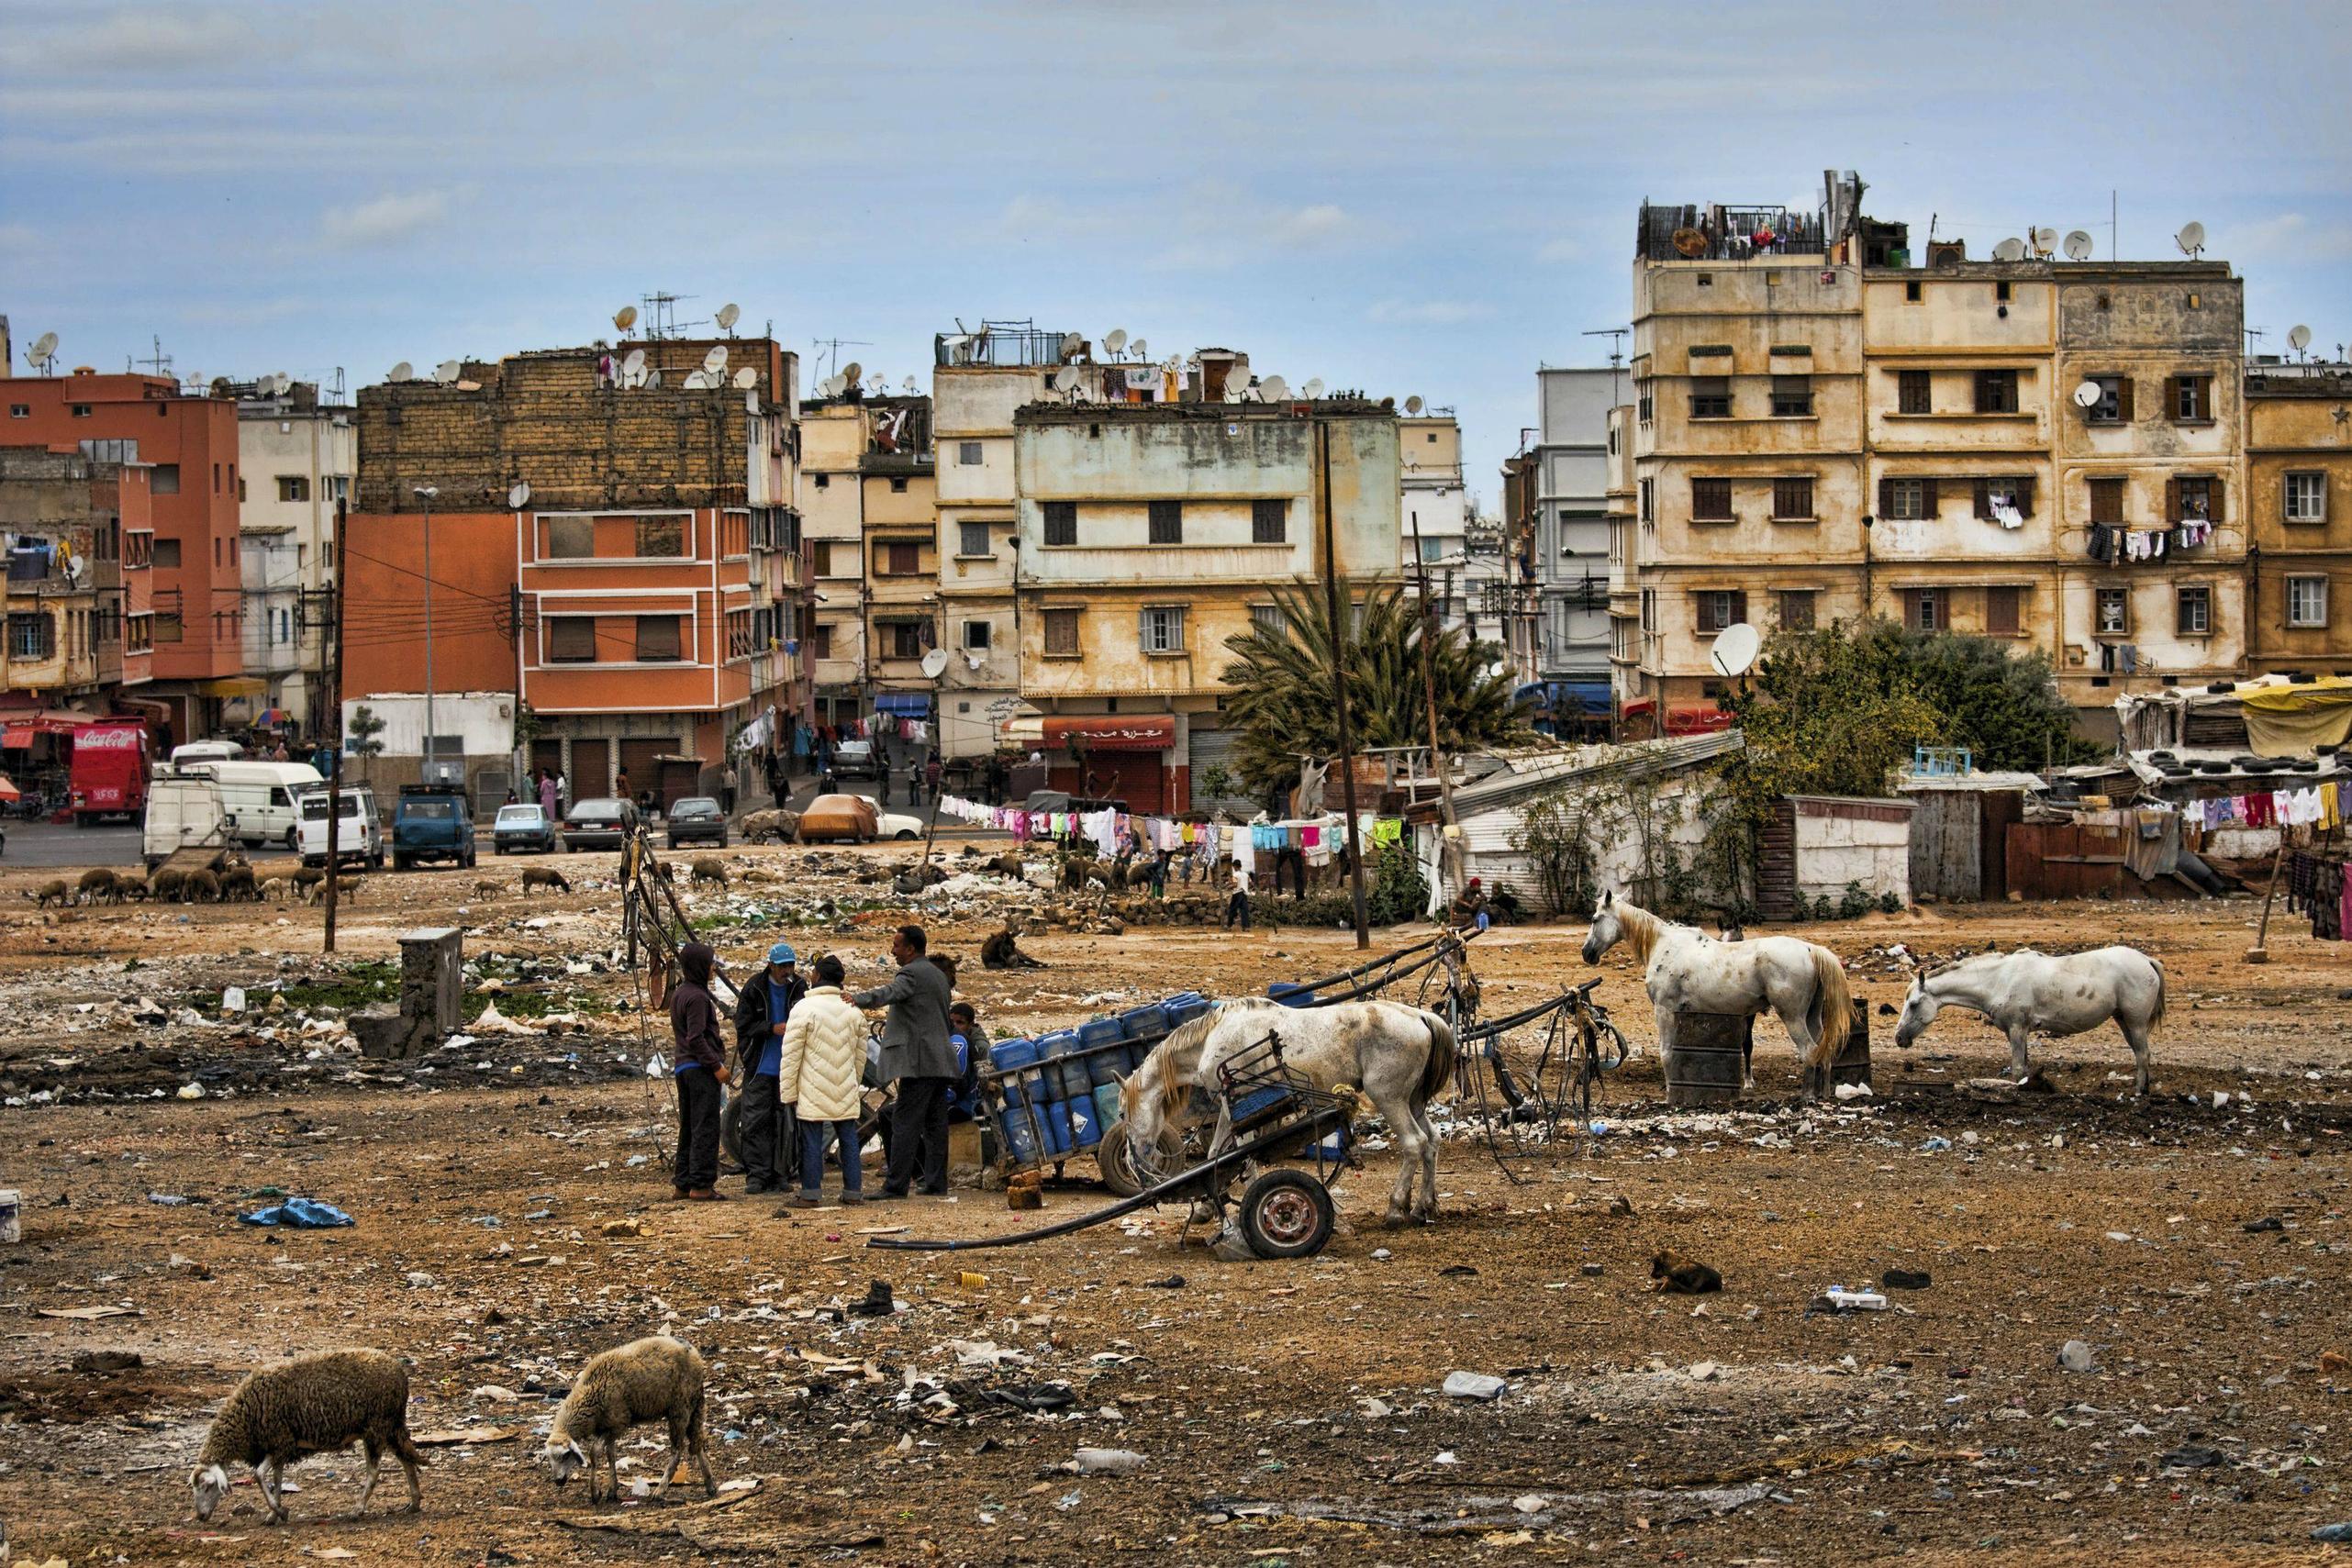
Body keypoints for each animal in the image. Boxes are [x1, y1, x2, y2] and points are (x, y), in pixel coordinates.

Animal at [190, 1353, 425, 1523]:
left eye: (208, 1486)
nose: (200, 1517)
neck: (244, 1421)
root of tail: (400, 1374)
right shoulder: (278, 1448)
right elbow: (276, 1479)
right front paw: (273, 1514)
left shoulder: (280, 1442)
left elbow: (258, 1475)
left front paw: (280, 1512)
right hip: (391, 1426)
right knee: (406, 1459)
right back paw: (414, 1503)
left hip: (376, 1428)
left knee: (374, 1472)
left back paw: (357, 1510)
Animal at [538, 1335, 710, 1504]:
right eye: (549, 1457)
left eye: (566, 1455)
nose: (558, 1481)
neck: (590, 1394)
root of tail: (693, 1351)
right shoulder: (607, 1428)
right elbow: (611, 1455)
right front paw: (612, 1491)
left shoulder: (618, 1424)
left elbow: (594, 1453)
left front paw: (595, 1492)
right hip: (693, 1404)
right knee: (697, 1442)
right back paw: (711, 1485)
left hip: (680, 1407)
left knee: (678, 1448)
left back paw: (660, 1490)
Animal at [1114, 1006, 1448, 1222]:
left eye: (1121, 1114)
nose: (1131, 1163)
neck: (1212, 1038)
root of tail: (1422, 1016)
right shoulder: (1227, 1108)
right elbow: (1215, 1154)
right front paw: (1208, 1207)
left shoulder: (1235, 1107)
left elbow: (1243, 1158)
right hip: (1413, 1102)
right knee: (1431, 1142)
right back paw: (1423, 1207)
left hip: (1389, 1099)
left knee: (1414, 1143)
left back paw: (1396, 1209)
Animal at [1580, 888, 1853, 1100]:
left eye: (1595, 919)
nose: (1587, 953)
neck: (1664, 944)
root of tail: (1810, 949)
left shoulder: (1664, 1011)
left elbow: (1667, 1054)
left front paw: (1670, 1094)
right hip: (1812, 1016)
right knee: (1823, 1051)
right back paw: (1823, 1094)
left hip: (1793, 1017)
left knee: (1809, 1052)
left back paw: (1807, 1097)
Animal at [1890, 950, 2163, 1100]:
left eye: (1913, 1004)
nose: (1899, 1038)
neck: (1998, 980)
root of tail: (2147, 960)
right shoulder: (2017, 1032)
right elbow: (2025, 1067)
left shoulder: (2017, 1029)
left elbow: (2017, 1069)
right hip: (2124, 1021)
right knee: (2141, 1054)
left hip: (2135, 1022)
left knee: (2143, 1054)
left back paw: (2139, 1092)